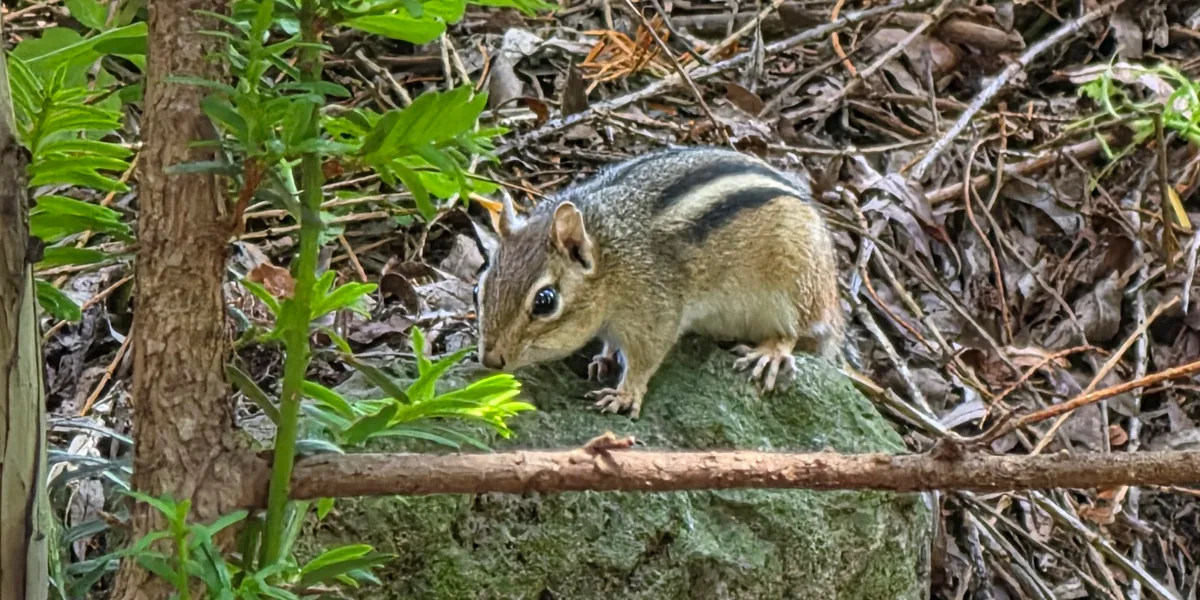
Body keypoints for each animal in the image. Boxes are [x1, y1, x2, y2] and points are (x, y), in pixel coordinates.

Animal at [474, 146, 845, 419]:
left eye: (545, 301)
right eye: (479, 287)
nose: (490, 360)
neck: (613, 259)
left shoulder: (654, 314)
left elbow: (646, 358)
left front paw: (624, 395)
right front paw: (604, 358)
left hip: (795, 284)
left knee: (794, 331)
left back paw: (770, 353)